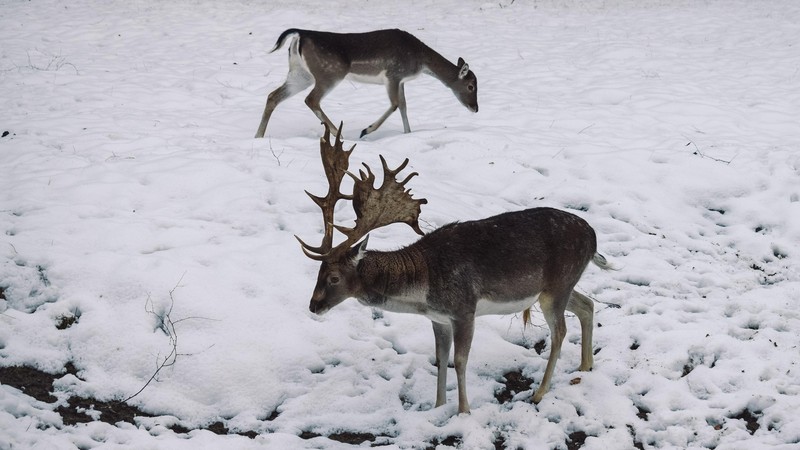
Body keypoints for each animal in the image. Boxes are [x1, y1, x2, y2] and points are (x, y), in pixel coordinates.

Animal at [255, 29, 476, 138]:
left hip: (300, 74)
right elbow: (395, 104)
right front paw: (366, 130)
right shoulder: (393, 74)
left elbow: (404, 106)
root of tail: (299, 35)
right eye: (471, 86)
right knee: (311, 99)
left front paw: (408, 134)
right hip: (330, 73)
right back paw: (338, 134)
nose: (476, 108)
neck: (420, 61)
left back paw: (258, 136)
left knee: (273, 96)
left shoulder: (400, 80)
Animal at [300, 125, 612, 414]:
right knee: (587, 304)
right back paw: (585, 366)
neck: (423, 288)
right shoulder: (438, 318)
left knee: (559, 331)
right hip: (558, 285)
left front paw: (464, 411)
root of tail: (593, 237)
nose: (313, 306)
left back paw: (539, 393)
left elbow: (460, 361)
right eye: (317, 272)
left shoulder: (464, 309)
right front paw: (438, 406)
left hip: (557, 286)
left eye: (334, 277)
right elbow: (441, 359)